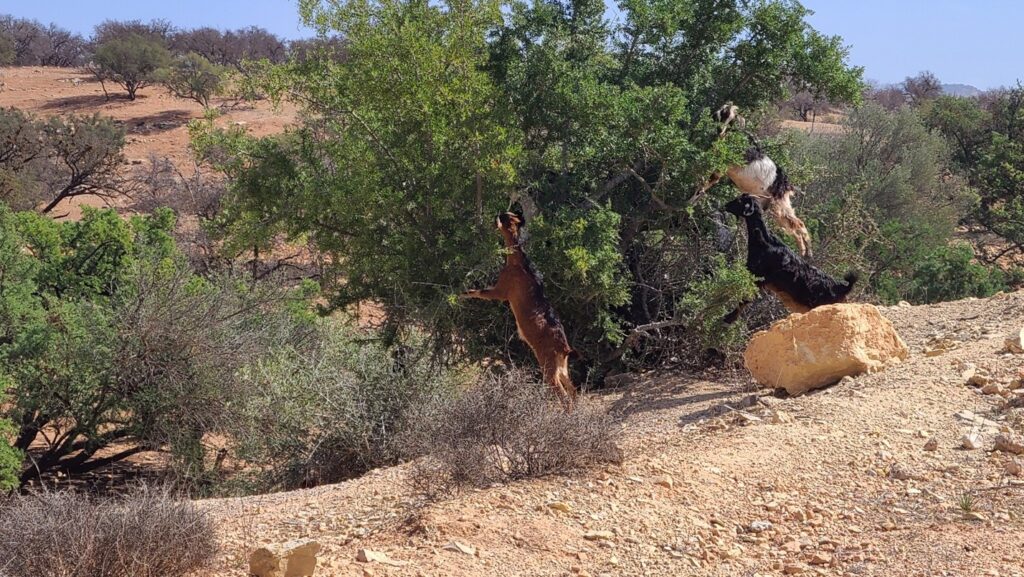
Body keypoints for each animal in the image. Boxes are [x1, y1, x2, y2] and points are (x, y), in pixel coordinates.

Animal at [460, 212, 578, 410]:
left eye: (504, 217)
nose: (495, 219)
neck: (518, 261)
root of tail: (564, 347)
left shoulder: (501, 291)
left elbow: (479, 292)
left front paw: (459, 294)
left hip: (548, 366)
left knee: (562, 394)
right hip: (561, 366)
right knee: (573, 390)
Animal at [723, 194, 856, 323]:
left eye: (740, 200)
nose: (726, 205)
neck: (765, 242)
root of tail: (842, 287)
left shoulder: (759, 277)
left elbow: (745, 299)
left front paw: (728, 318)